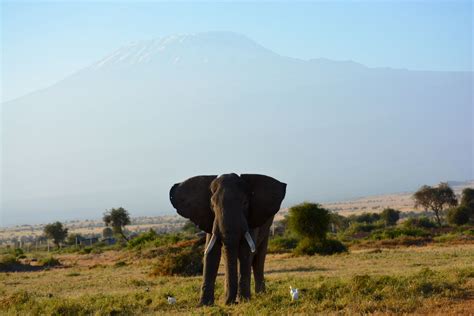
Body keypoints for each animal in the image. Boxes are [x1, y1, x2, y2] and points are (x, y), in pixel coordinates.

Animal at [171, 174, 288, 304]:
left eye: (245, 203)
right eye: (212, 205)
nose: (230, 302)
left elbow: (245, 252)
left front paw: (244, 301)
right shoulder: (211, 220)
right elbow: (211, 253)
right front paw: (204, 304)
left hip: (267, 227)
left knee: (258, 259)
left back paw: (260, 295)